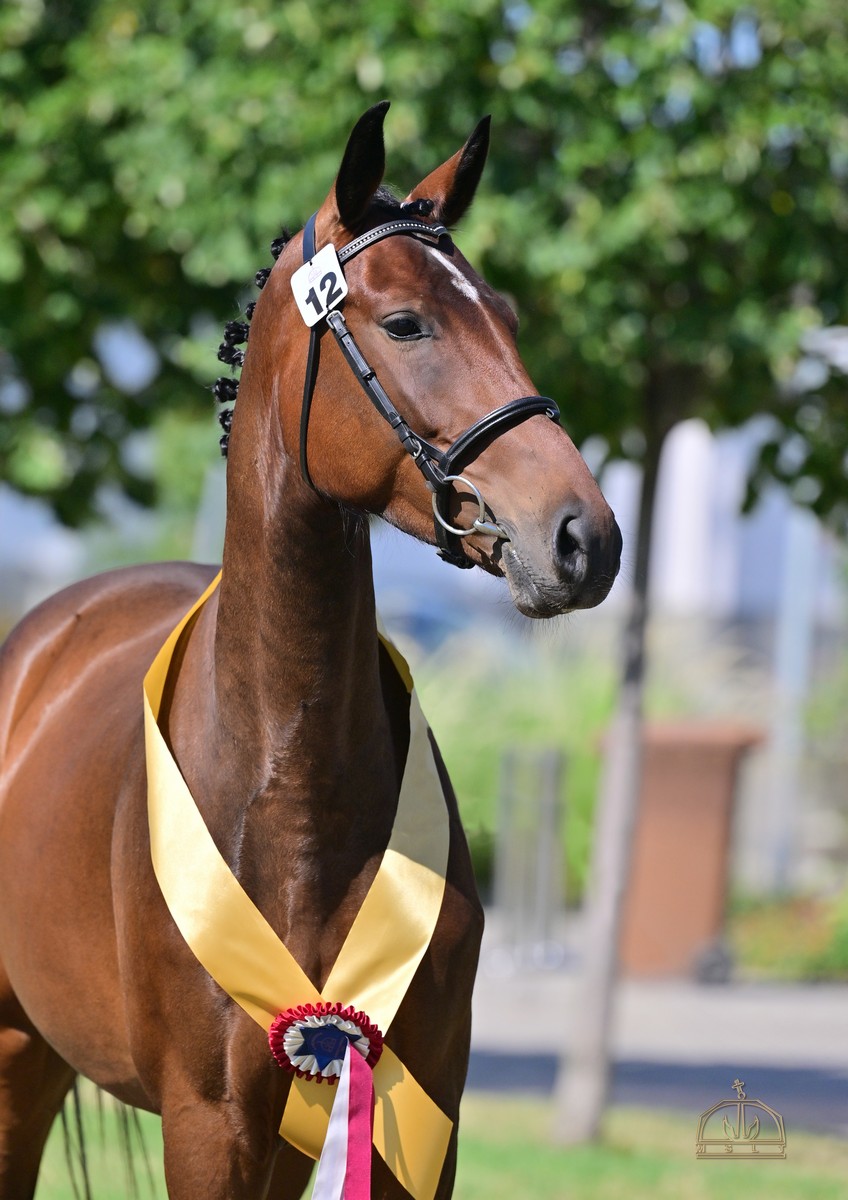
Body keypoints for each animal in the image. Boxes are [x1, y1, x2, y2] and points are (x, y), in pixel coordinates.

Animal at [0, 102, 621, 1200]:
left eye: (507, 317)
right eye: (405, 322)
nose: (582, 538)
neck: (288, 790)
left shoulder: (420, 1119)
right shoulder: (208, 1128)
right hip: (11, 1054)